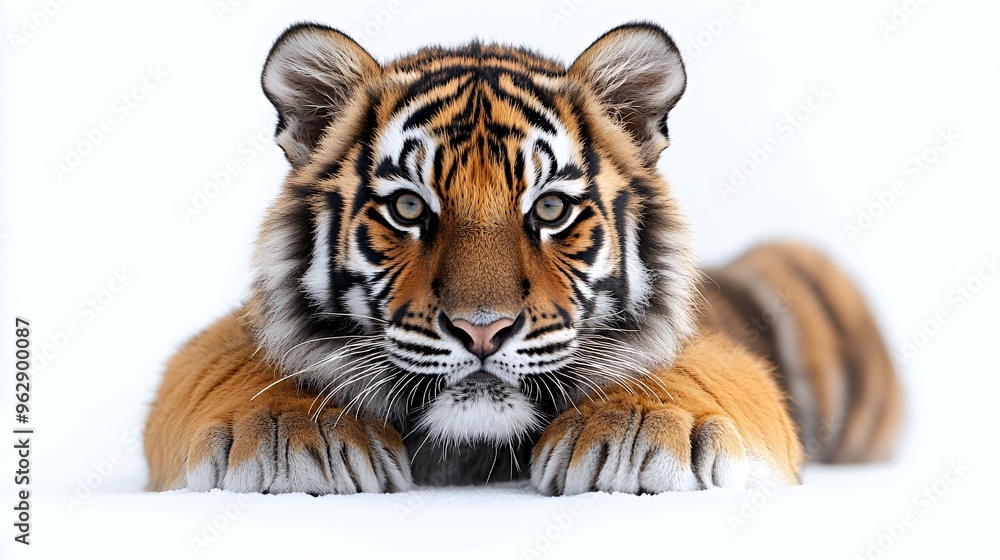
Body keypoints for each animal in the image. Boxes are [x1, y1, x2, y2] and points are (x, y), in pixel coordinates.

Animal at [143, 22, 901, 495]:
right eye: (409, 208)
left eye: (550, 209)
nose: (482, 330)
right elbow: (232, 362)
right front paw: (288, 431)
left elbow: (689, 366)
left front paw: (640, 430)